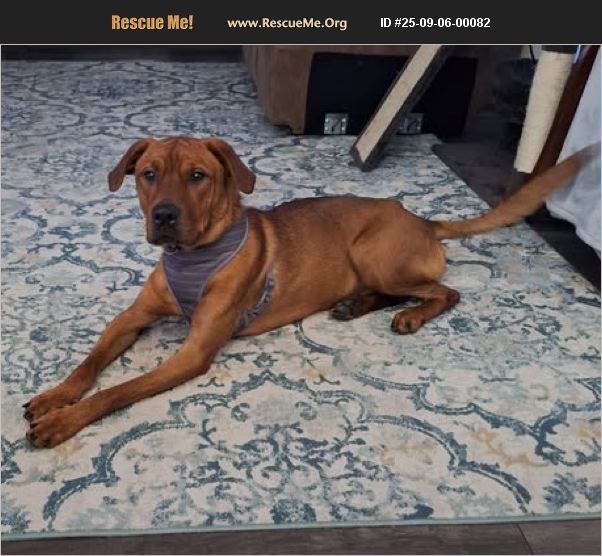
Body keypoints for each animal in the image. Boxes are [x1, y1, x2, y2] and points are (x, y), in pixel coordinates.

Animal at [23, 137, 593, 448]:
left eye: (198, 176)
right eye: (147, 174)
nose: (163, 216)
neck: (194, 255)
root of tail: (420, 218)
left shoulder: (194, 351)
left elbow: (117, 390)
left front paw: (62, 422)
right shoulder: (131, 318)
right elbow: (90, 363)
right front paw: (56, 396)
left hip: (374, 252)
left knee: (445, 291)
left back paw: (409, 315)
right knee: (401, 291)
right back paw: (355, 305)